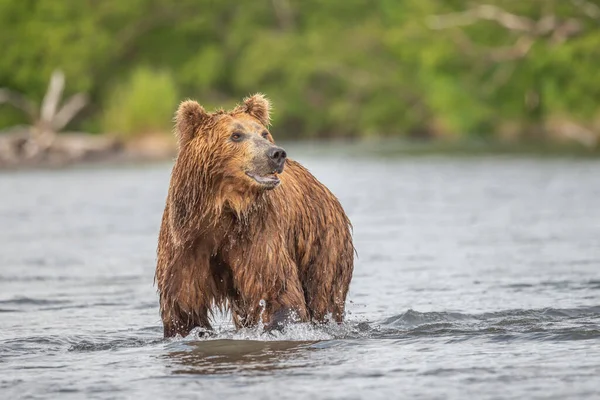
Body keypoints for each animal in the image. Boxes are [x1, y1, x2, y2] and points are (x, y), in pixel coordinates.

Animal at [154, 94, 356, 338]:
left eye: (264, 133)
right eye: (236, 135)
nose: (276, 153)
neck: (223, 208)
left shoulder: (257, 232)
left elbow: (274, 288)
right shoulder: (185, 242)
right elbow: (184, 305)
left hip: (323, 243)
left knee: (323, 294)